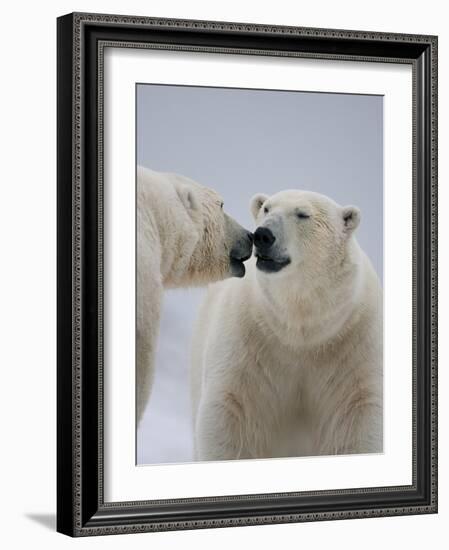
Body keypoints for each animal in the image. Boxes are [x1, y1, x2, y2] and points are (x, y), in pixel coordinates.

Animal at [190, 190, 382, 462]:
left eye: (303, 214)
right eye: (267, 209)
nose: (262, 235)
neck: (299, 325)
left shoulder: (354, 342)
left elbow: (358, 413)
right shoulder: (248, 339)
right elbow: (230, 410)